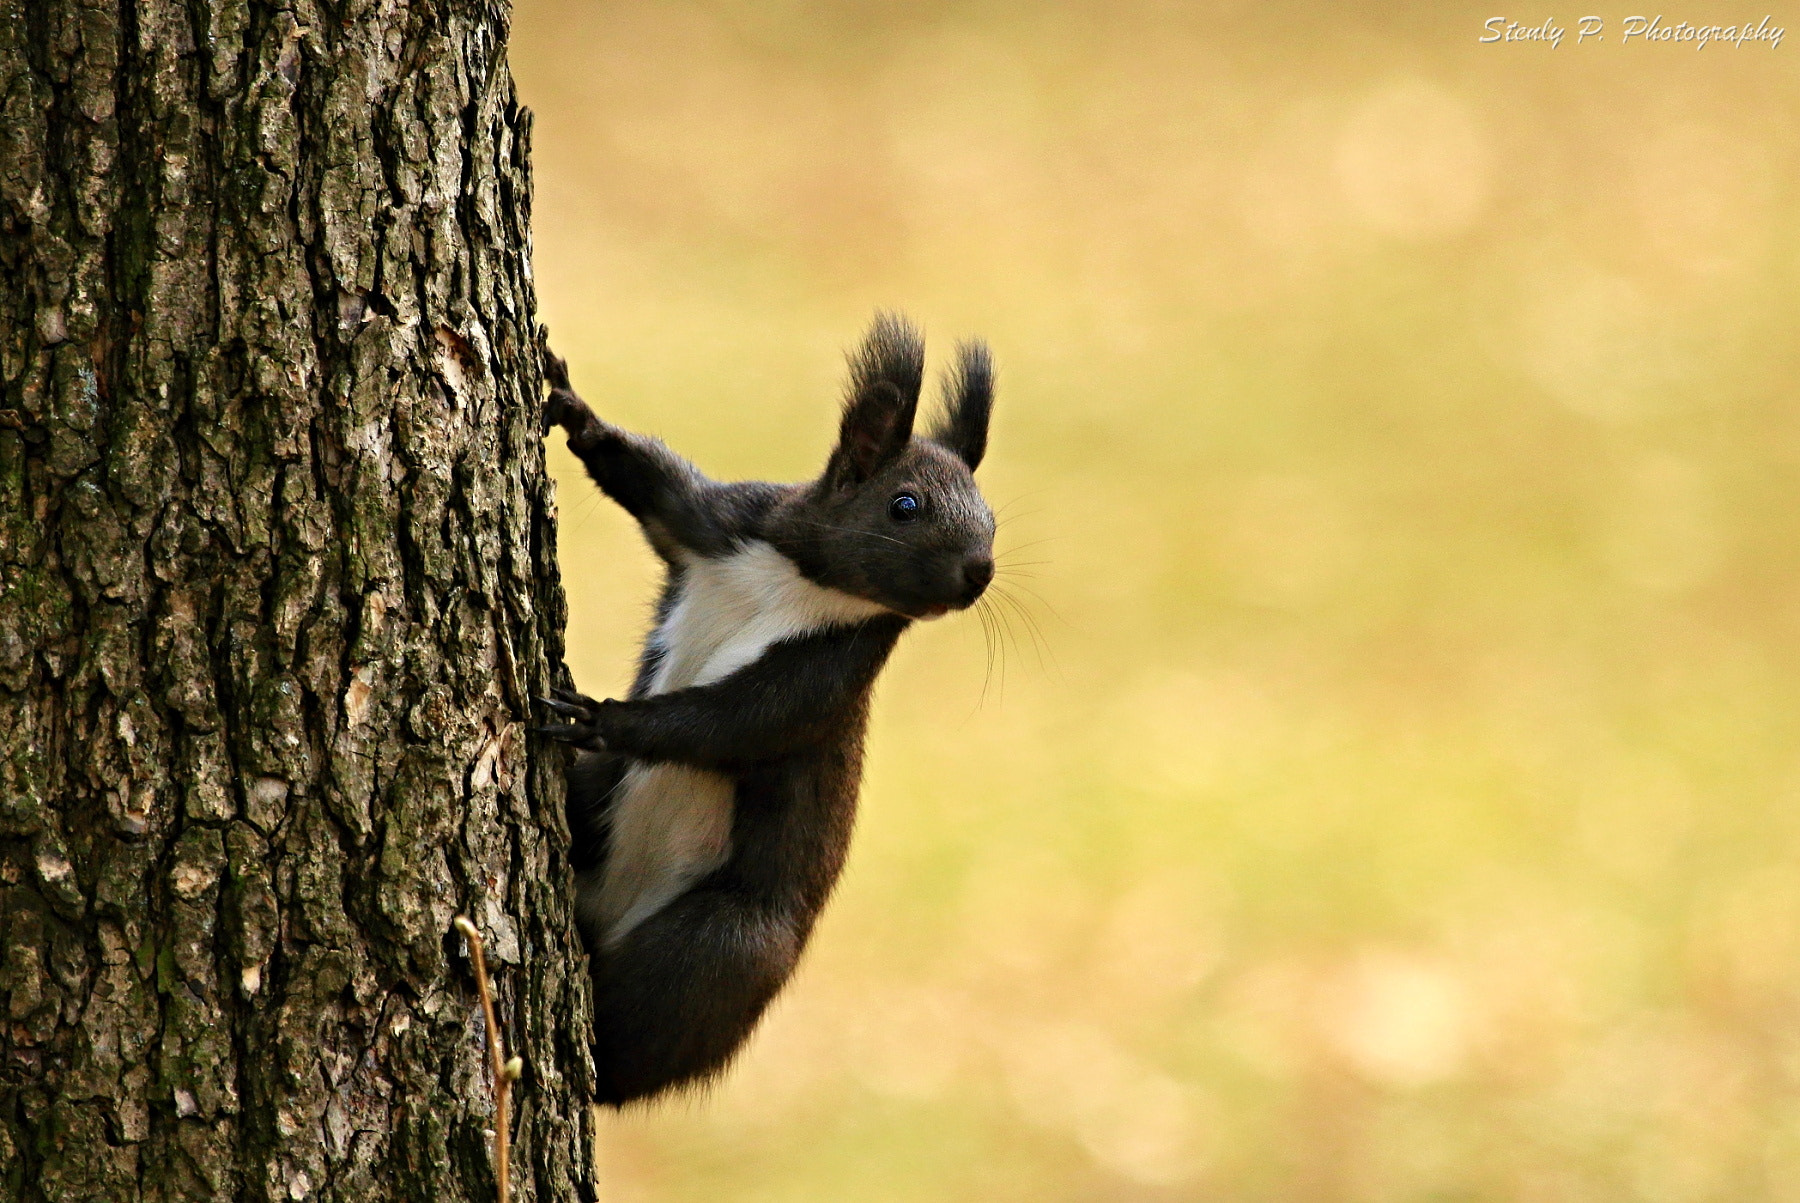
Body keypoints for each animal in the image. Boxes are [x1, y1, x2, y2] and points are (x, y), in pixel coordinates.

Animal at [540, 315, 1008, 1102]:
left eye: (992, 519)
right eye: (905, 504)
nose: (979, 572)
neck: (806, 580)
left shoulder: (831, 667)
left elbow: (736, 722)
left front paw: (604, 717)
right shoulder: (725, 524)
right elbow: (657, 488)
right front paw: (573, 408)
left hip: (726, 944)